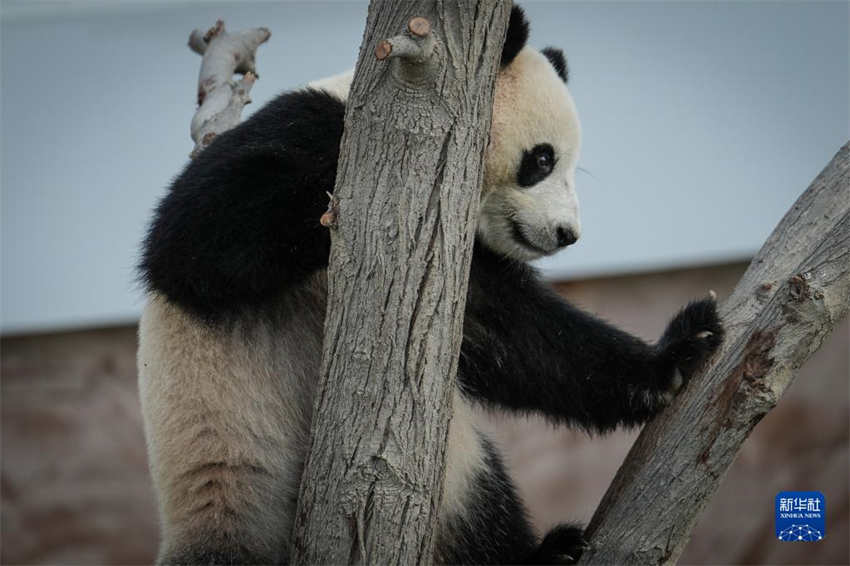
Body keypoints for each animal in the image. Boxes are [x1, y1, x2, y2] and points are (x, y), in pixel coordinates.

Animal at [138, 6, 723, 565]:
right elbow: (192, 243)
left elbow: (515, 335)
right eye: (542, 159)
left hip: (449, 478)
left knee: (479, 499)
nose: (566, 234)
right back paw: (544, 554)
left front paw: (678, 354)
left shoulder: (448, 261)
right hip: (236, 472)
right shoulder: (298, 128)